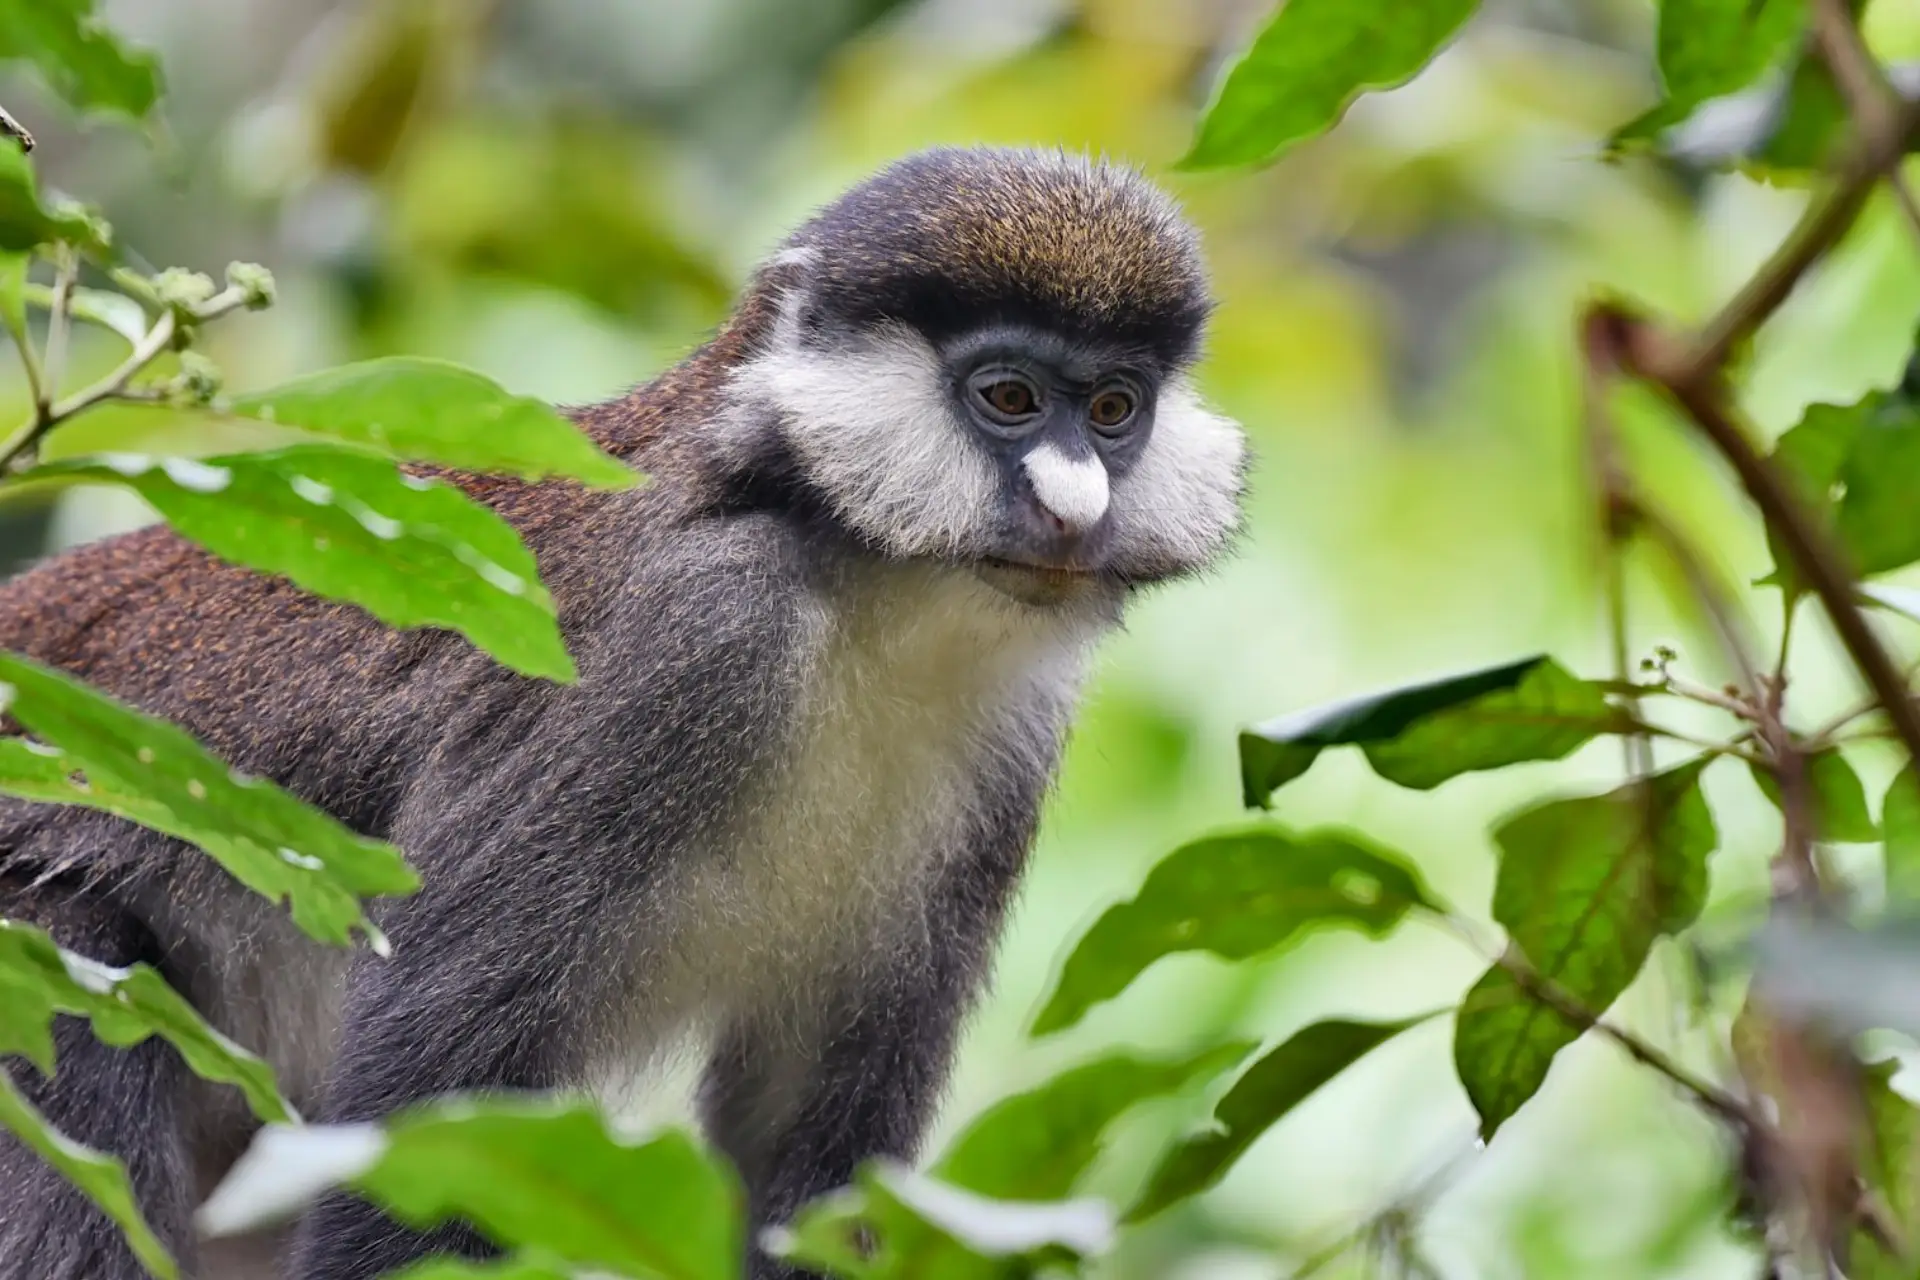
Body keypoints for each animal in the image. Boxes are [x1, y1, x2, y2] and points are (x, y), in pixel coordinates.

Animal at [0, 145, 1247, 1280]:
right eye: (1009, 398)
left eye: (1115, 408)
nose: (1074, 507)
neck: (858, 586)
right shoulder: (688, 643)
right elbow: (427, 1113)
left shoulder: (1010, 734)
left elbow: (809, 1157)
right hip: (40, 952)